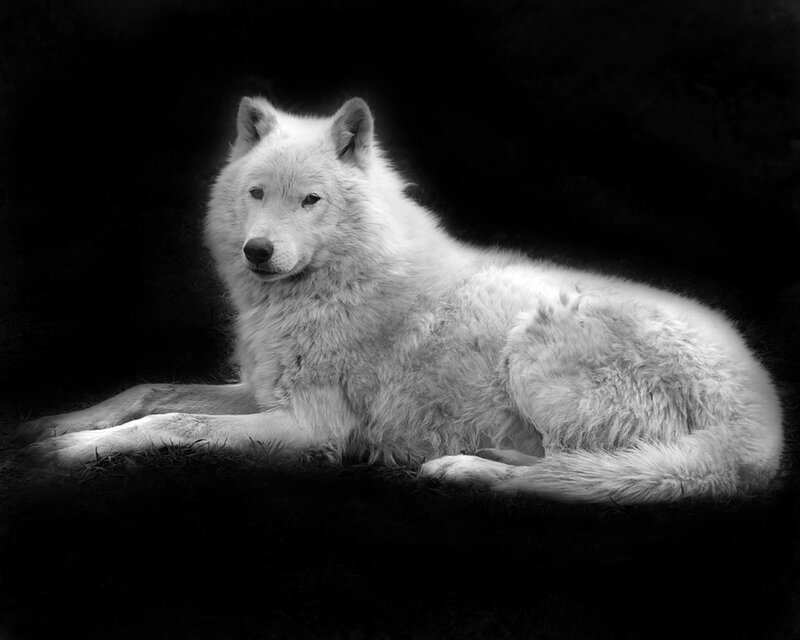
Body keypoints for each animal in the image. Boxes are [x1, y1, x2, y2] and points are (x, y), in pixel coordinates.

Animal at [20, 96, 783, 503]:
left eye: (311, 201)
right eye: (257, 194)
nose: (257, 251)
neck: (336, 285)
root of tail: (762, 427)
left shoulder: (311, 428)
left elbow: (178, 422)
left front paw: (79, 449)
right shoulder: (260, 391)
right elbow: (149, 389)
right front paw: (57, 423)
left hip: (535, 349)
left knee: (573, 472)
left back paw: (463, 468)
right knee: (572, 468)